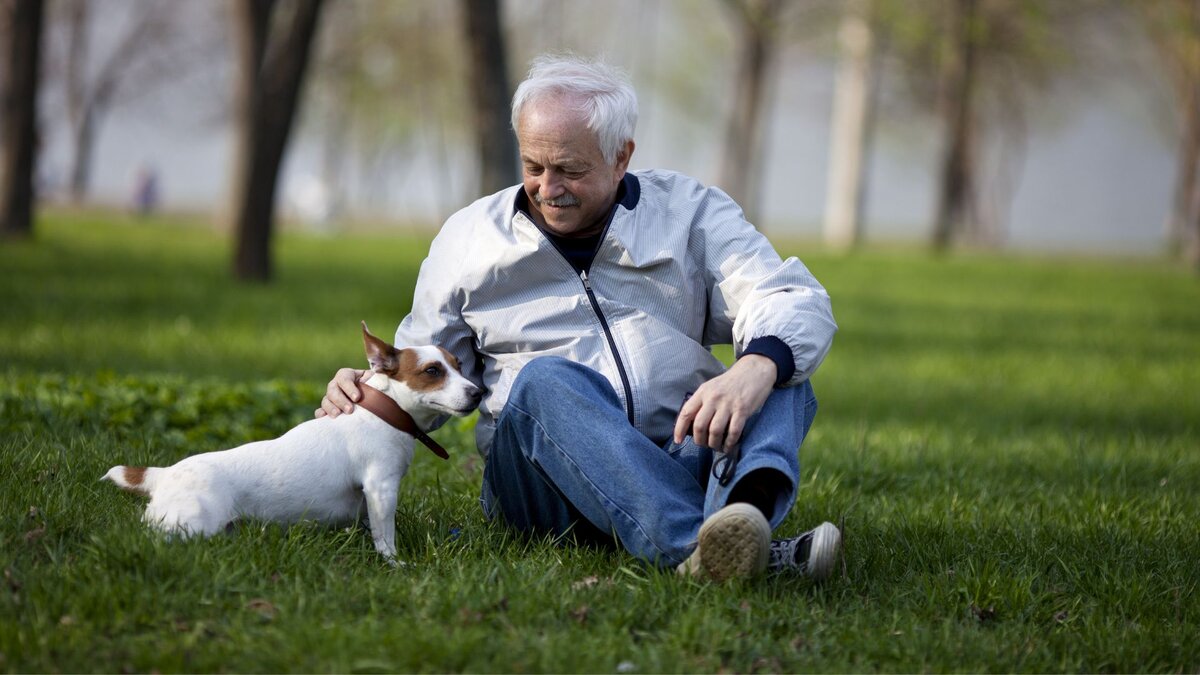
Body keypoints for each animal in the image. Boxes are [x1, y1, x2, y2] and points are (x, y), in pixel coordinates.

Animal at [100, 321, 480, 562]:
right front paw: (395, 564)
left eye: (460, 364)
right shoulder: (381, 489)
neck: (384, 411)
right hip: (191, 526)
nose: (478, 392)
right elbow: (385, 536)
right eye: (432, 371)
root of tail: (164, 475)